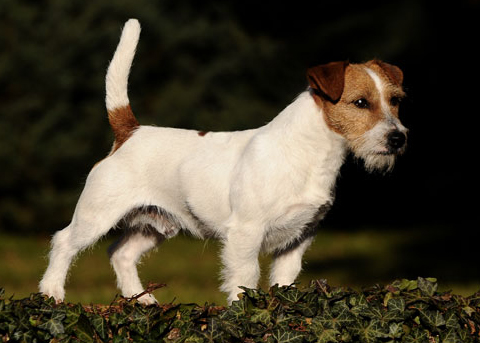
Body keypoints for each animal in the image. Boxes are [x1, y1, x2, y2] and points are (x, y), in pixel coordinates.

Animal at [40, 18, 408, 306]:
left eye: (395, 100)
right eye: (360, 103)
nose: (398, 138)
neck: (307, 154)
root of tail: (129, 131)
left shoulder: (298, 239)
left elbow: (284, 282)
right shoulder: (246, 233)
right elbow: (245, 277)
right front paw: (244, 312)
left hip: (157, 222)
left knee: (121, 253)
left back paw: (141, 300)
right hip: (97, 215)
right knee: (64, 242)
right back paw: (51, 293)